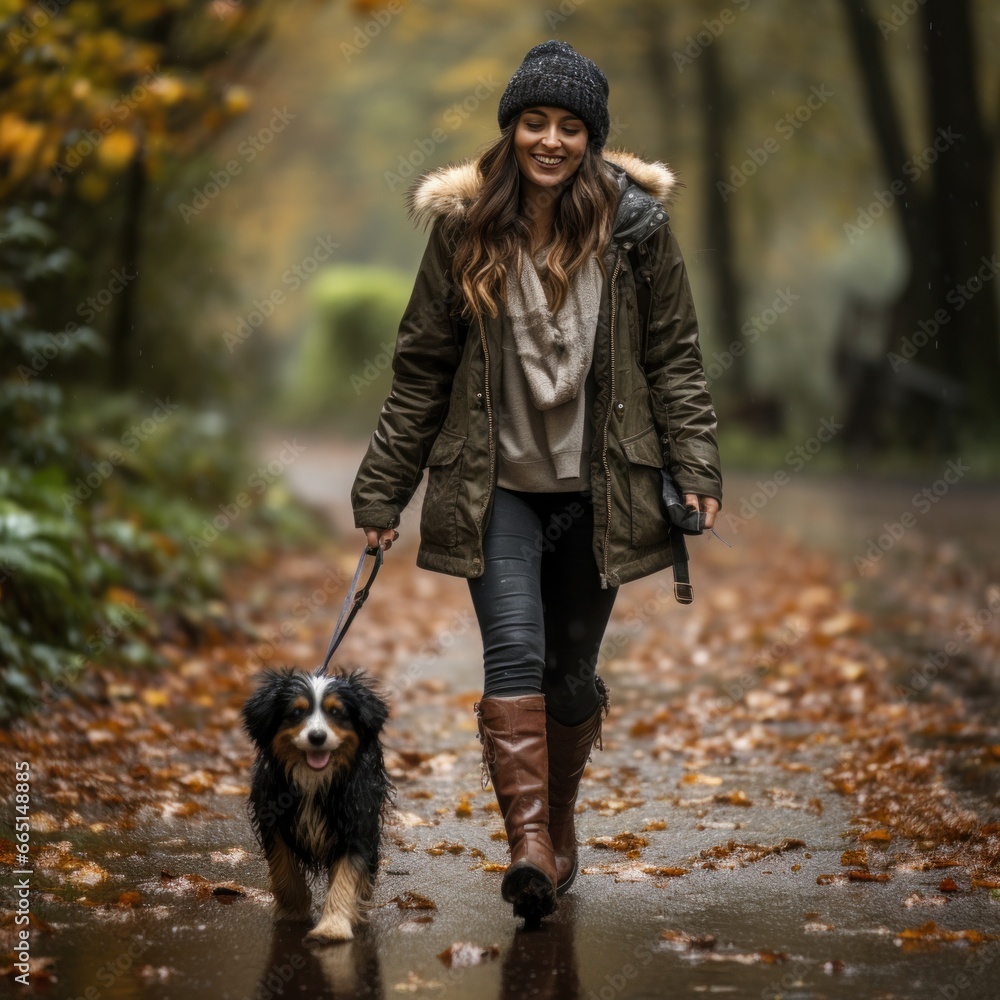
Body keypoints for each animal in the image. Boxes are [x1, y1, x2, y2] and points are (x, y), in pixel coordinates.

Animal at [241, 668, 390, 940]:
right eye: (296, 712)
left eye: (336, 712)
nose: (317, 737)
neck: (314, 778)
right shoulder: (273, 818)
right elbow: (283, 867)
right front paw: (292, 909)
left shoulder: (356, 822)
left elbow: (346, 875)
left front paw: (332, 927)